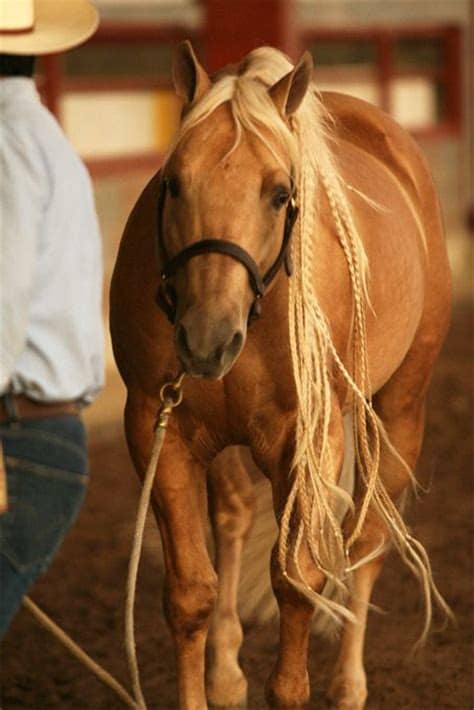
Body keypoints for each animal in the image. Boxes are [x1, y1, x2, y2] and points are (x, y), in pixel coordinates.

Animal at [111, 44, 452, 710]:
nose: (207, 337)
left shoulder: (305, 441)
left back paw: (348, 687)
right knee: (235, 516)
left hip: (399, 411)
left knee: (366, 543)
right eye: (173, 183)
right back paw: (226, 675)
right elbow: (190, 591)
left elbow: (297, 579)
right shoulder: (158, 431)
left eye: (277, 193)